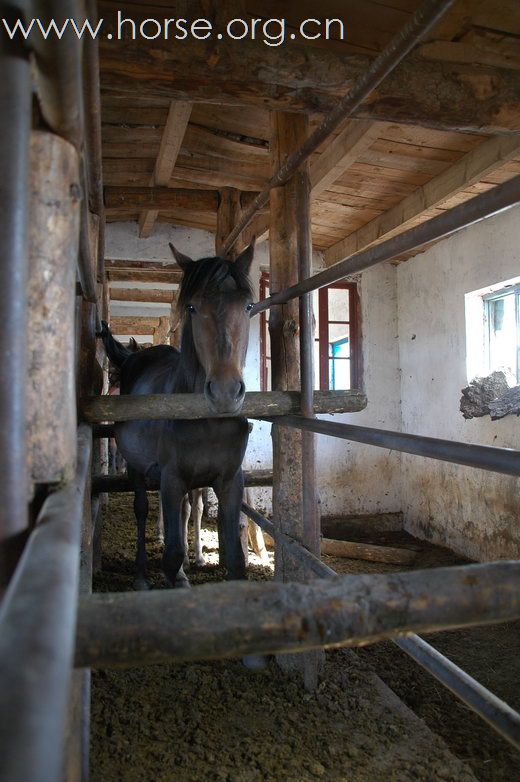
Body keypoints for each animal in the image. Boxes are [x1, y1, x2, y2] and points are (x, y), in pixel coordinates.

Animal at [99, 242, 254, 592]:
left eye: (249, 306)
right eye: (193, 308)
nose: (225, 392)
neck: (209, 424)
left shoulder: (230, 481)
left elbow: (235, 558)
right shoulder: (171, 479)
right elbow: (170, 555)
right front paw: (176, 572)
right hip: (138, 469)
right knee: (141, 510)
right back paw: (141, 577)